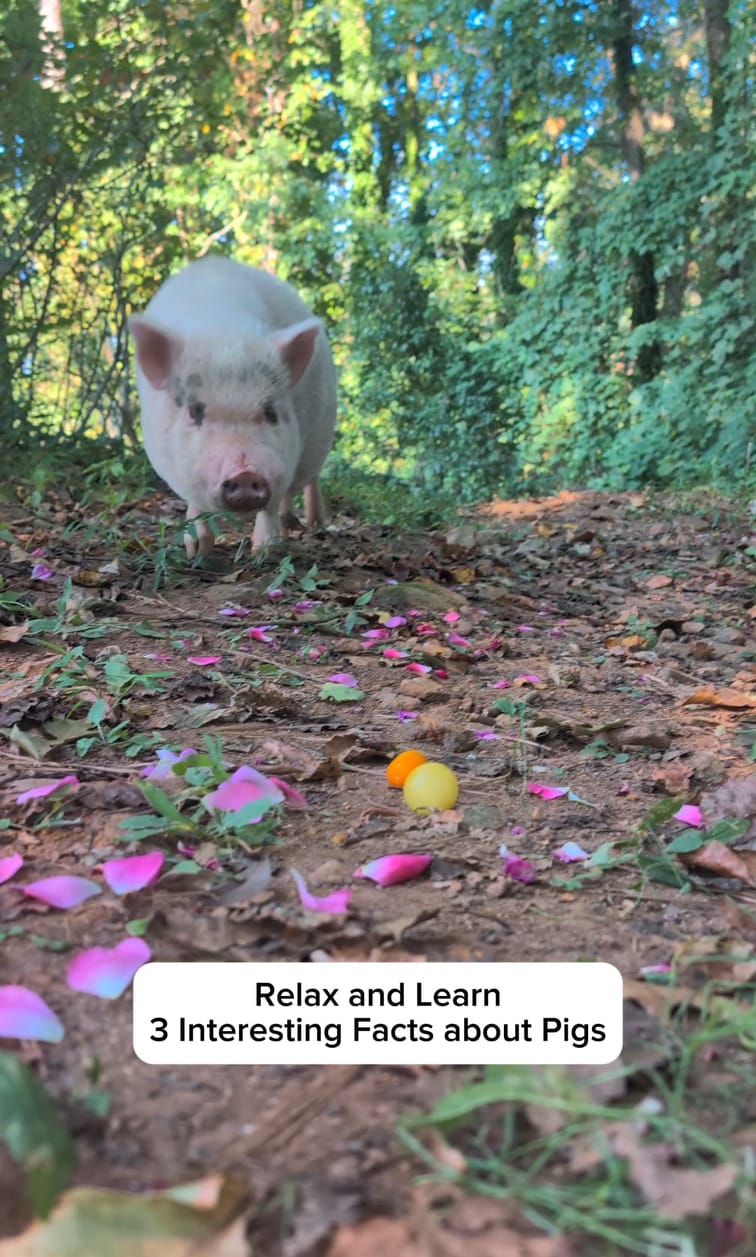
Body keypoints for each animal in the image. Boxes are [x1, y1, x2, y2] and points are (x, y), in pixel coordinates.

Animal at [129, 255, 337, 558]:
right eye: (195, 411)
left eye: (271, 412)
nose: (245, 473)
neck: (226, 333)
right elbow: (195, 502)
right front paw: (197, 551)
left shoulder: (284, 458)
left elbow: (271, 503)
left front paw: (263, 551)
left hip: (317, 439)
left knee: (307, 481)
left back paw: (308, 524)